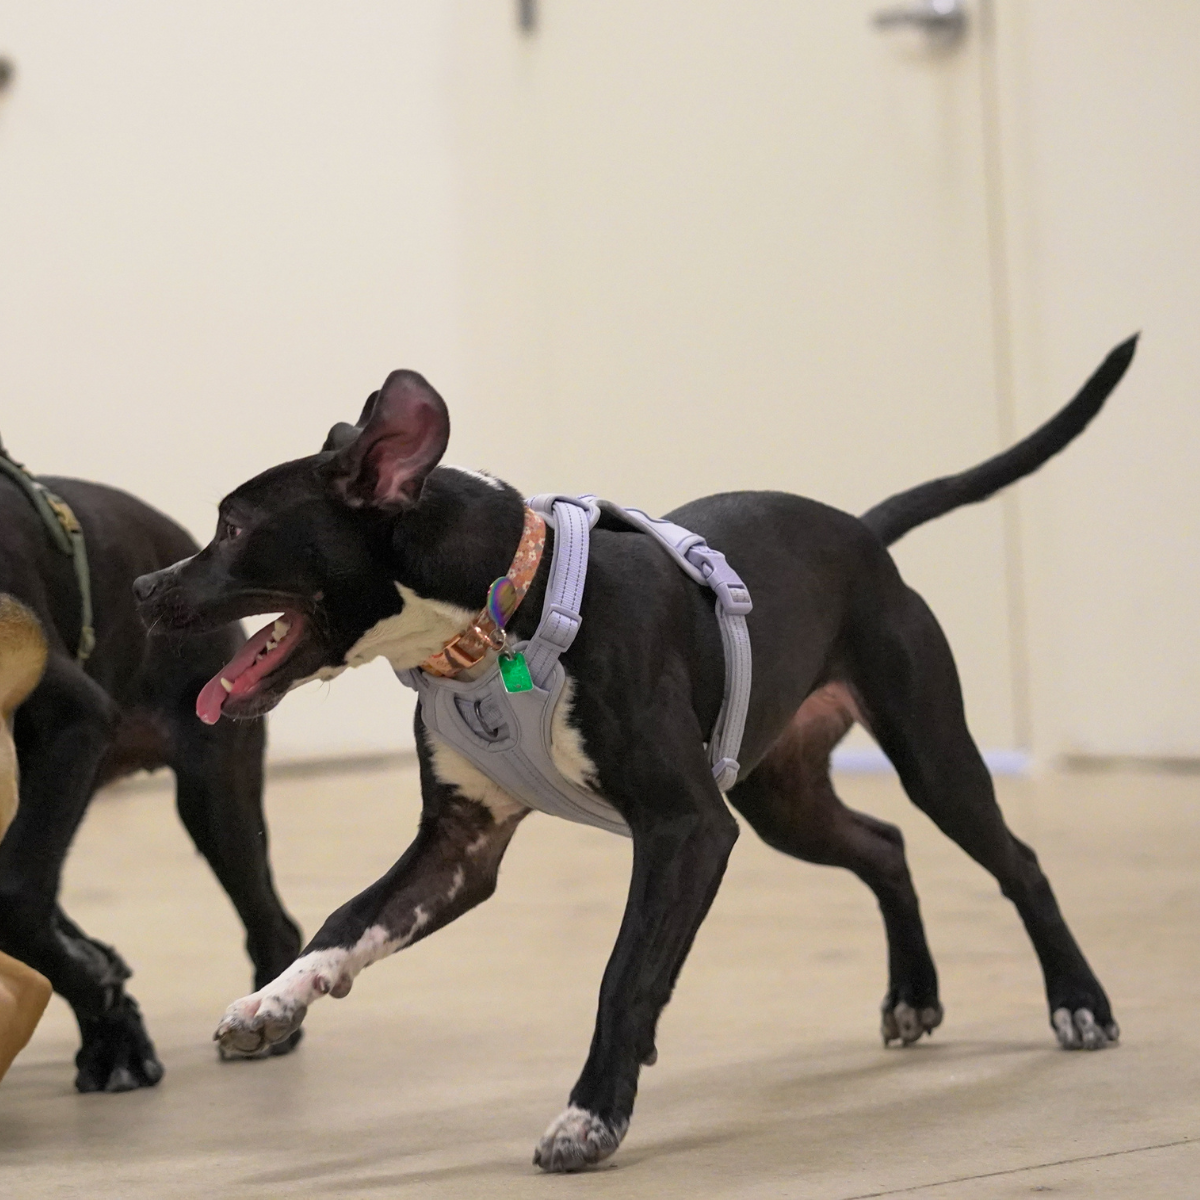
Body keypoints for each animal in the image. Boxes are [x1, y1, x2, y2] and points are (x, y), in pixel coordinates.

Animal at [0, 463, 300, 1094]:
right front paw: (106, 1000)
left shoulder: (76, 720)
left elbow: (13, 894)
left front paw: (99, 986)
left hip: (213, 793)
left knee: (267, 914)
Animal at [136, 338, 1137, 1171]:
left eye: (233, 527)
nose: (145, 587)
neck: (501, 613)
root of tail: (861, 531)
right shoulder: (458, 849)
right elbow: (345, 923)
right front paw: (272, 1002)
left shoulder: (687, 830)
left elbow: (625, 976)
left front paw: (591, 1116)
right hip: (784, 802)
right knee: (884, 847)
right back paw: (912, 992)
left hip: (931, 758)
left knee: (1016, 860)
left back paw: (1079, 1000)